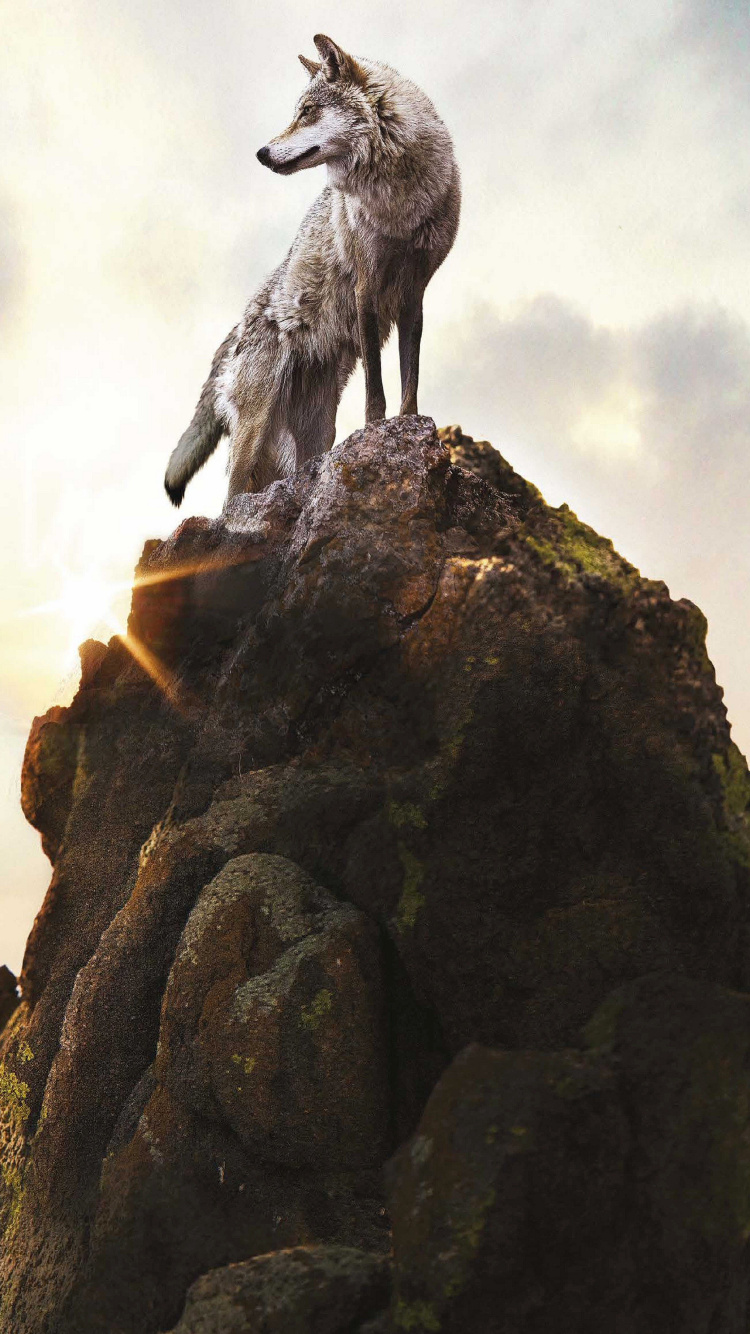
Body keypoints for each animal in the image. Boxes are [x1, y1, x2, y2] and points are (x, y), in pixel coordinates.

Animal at [164, 34, 460, 506]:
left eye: (306, 112)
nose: (261, 153)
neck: (398, 202)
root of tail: (235, 331)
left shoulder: (414, 295)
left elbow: (408, 382)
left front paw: (410, 431)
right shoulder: (366, 289)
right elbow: (376, 389)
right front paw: (376, 432)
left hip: (317, 431)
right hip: (256, 431)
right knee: (229, 499)